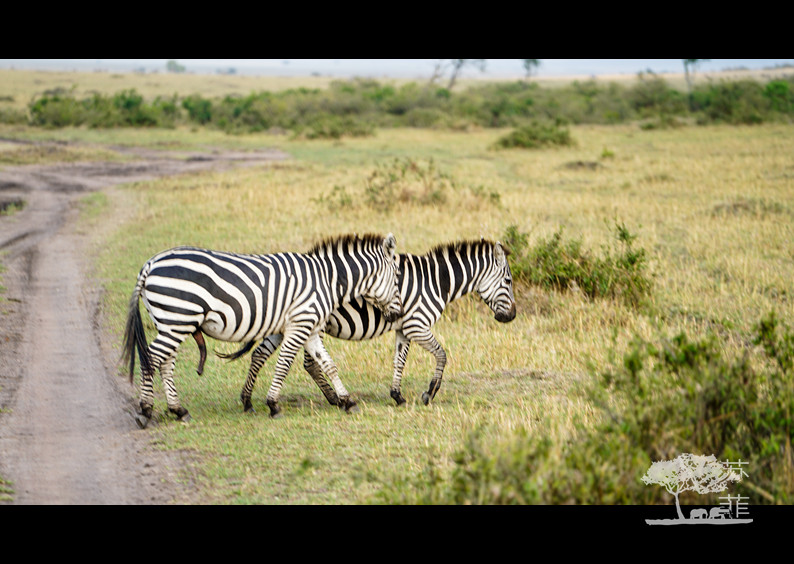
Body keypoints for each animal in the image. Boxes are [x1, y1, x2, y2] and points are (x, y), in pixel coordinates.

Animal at [121, 231, 402, 426]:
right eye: (397, 280)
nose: (398, 313)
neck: (328, 281)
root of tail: (150, 264)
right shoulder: (299, 324)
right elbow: (284, 364)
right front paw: (273, 405)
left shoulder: (310, 328)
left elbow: (328, 364)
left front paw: (347, 401)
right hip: (176, 318)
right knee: (152, 358)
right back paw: (145, 411)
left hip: (171, 323)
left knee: (165, 362)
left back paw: (178, 410)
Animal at [217, 239, 512, 410]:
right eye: (509, 281)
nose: (511, 317)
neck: (437, 281)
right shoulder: (417, 324)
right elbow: (442, 354)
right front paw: (430, 393)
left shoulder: (404, 328)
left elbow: (399, 362)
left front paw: (397, 395)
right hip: (305, 323)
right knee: (305, 362)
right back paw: (335, 399)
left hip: (288, 323)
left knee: (262, 353)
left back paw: (248, 399)